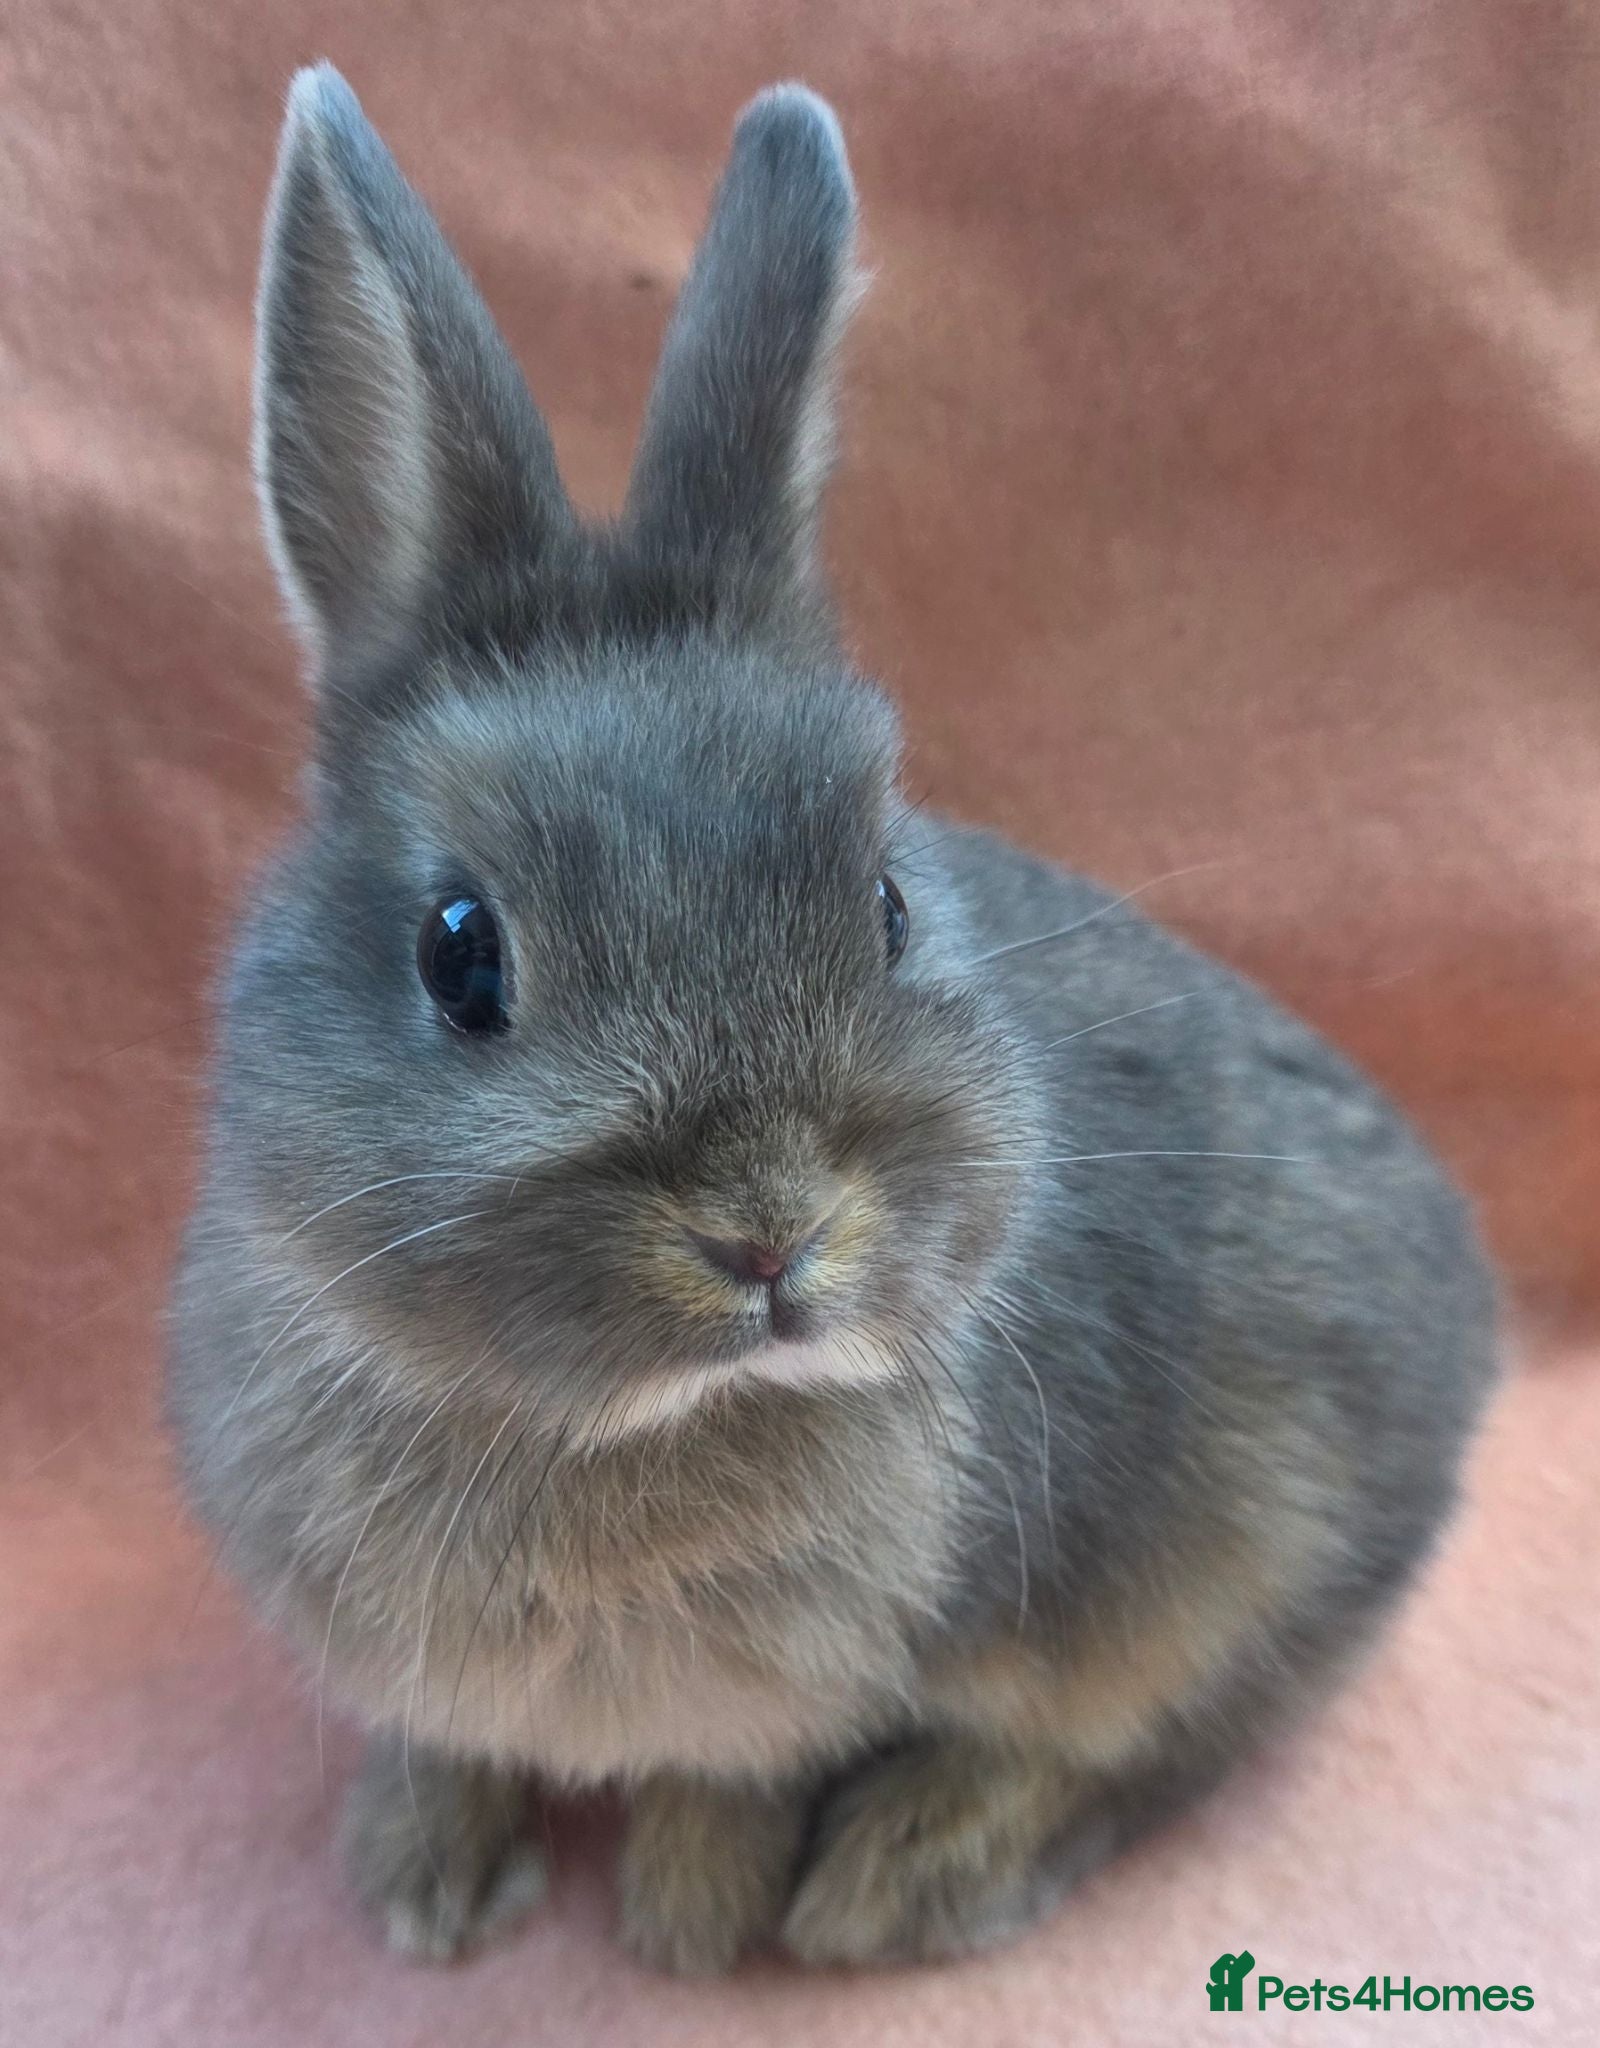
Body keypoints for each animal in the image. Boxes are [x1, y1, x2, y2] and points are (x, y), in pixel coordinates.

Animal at [168, 63, 1498, 1974]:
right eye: (460, 953)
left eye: (884, 902)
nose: (768, 1233)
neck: (624, 1422)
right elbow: (449, 1742)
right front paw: (424, 1891)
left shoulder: (810, 1687)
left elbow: (741, 1779)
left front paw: (687, 1927)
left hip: (1255, 1541)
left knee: (1164, 1739)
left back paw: (899, 1875)